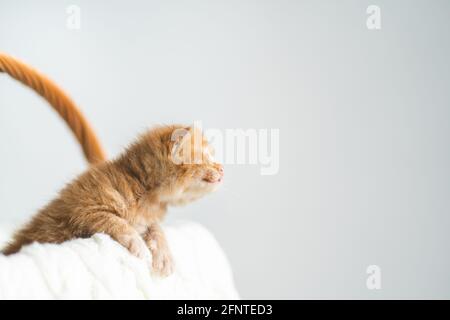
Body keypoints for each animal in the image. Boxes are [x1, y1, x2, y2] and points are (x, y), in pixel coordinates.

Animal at [1, 124, 223, 276]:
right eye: (206, 158)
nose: (221, 168)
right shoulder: (83, 209)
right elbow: (117, 222)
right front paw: (139, 245)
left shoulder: (148, 218)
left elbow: (156, 229)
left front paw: (164, 256)